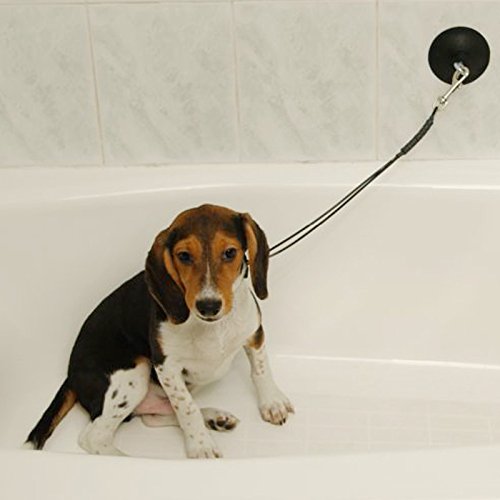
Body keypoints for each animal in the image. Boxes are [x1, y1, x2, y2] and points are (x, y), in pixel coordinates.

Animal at [25, 204, 293, 458]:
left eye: (230, 253)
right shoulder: (166, 366)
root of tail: (71, 375)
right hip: (134, 374)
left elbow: (261, 371)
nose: (208, 305)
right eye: (184, 256)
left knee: (153, 417)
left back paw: (214, 418)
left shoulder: (254, 334)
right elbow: (187, 408)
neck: (212, 326)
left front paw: (272, 403)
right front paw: (201, 446)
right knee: (93, 436)